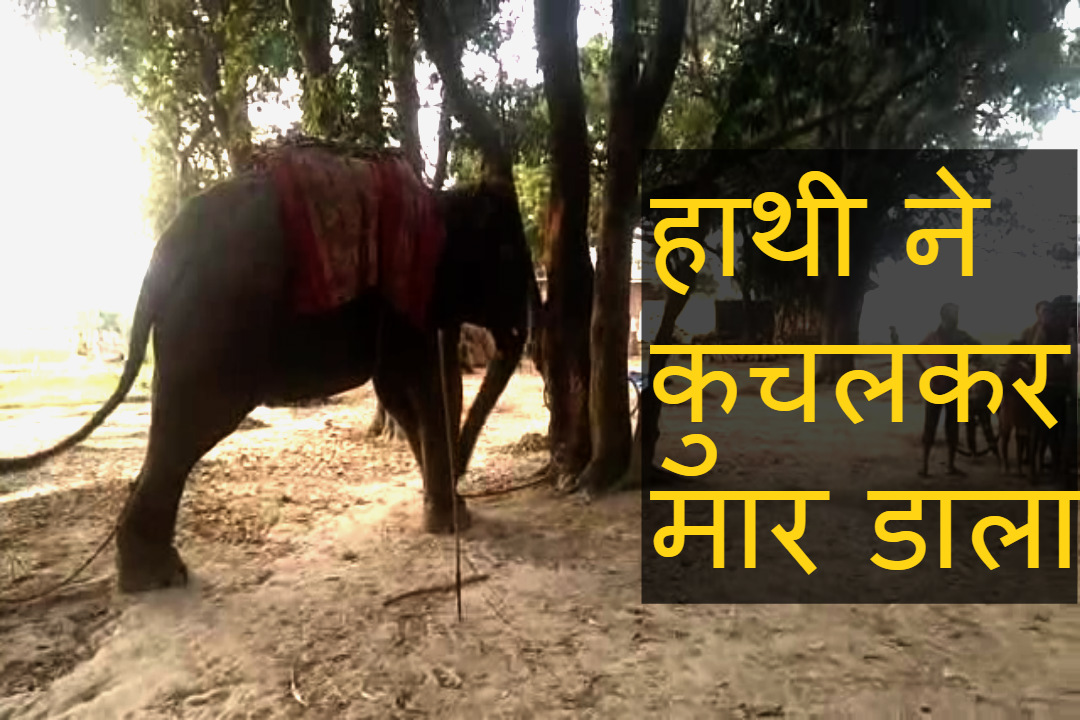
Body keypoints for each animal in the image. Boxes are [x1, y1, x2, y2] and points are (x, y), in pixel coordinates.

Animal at [0, 140, 541, 593]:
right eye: (509, 257)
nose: (466, 480)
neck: (441, 199)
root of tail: (161, 257)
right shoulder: (408, 292)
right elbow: (420, 383)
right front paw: (453, 522)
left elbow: (396, 389)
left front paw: (446, 511)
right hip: (212, 326)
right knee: (193, 426)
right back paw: (158, 577)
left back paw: (147, 575)